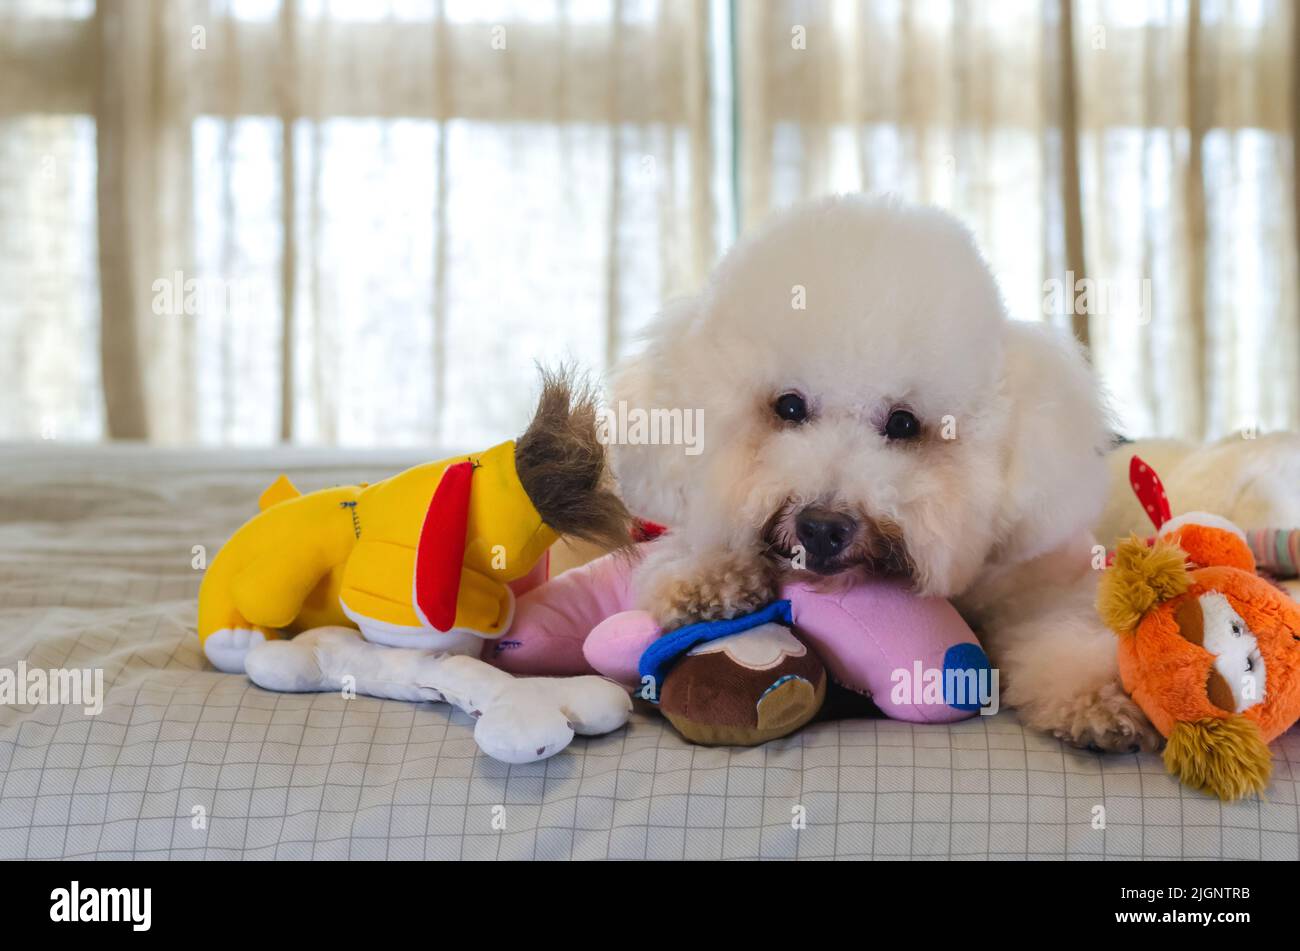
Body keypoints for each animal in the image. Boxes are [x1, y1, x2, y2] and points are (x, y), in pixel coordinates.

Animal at [613, 193, 1164, 753]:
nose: (822, 528)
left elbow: (1063, 628)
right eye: (788, 407)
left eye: (903, 423)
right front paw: (708, 580)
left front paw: (1095, 700)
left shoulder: (1039, 580)